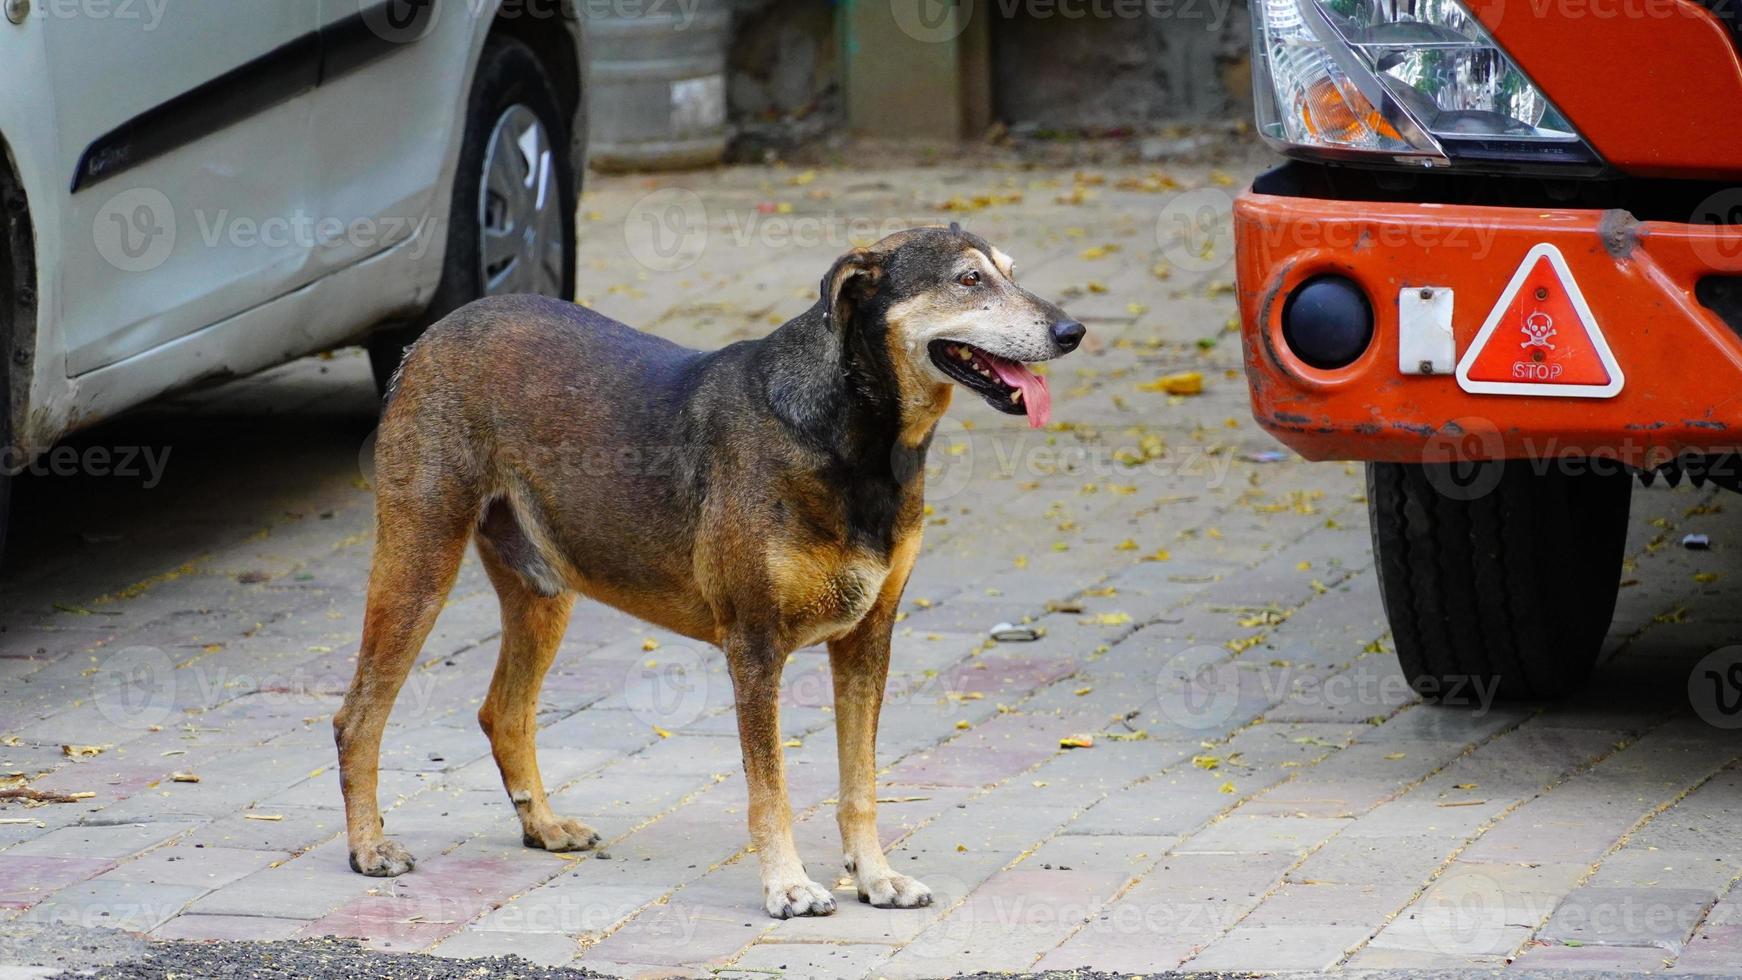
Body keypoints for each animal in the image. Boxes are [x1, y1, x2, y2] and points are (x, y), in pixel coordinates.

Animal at [332, 224, 1080, 919]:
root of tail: (429, 337)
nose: (1072, 331)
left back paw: (542, 826)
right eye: (968, 280)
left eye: (1010, 271)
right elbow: (770, 789)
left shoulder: (868, 640)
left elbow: (860, 784)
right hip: (420, 565)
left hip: (544, 589)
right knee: (358, 717)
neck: (852, 433)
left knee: (504, 713)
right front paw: (787, 885)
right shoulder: (755, 646)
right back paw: (369, 846)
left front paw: (875, 877)